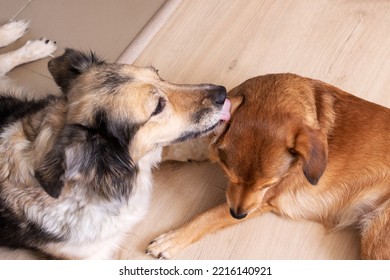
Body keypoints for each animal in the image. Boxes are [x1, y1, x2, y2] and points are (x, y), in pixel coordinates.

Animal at [0, 20, 230, 260]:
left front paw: (206, 149)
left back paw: (25, 39)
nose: (223, 93)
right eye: (158, 106)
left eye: (158, 73)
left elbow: (166, 148)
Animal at [145, 73, 390, 260]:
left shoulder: (263, 201)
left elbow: (209, 216)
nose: (238, 215)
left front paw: (171, 240)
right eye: (228, 174)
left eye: (269, 184)